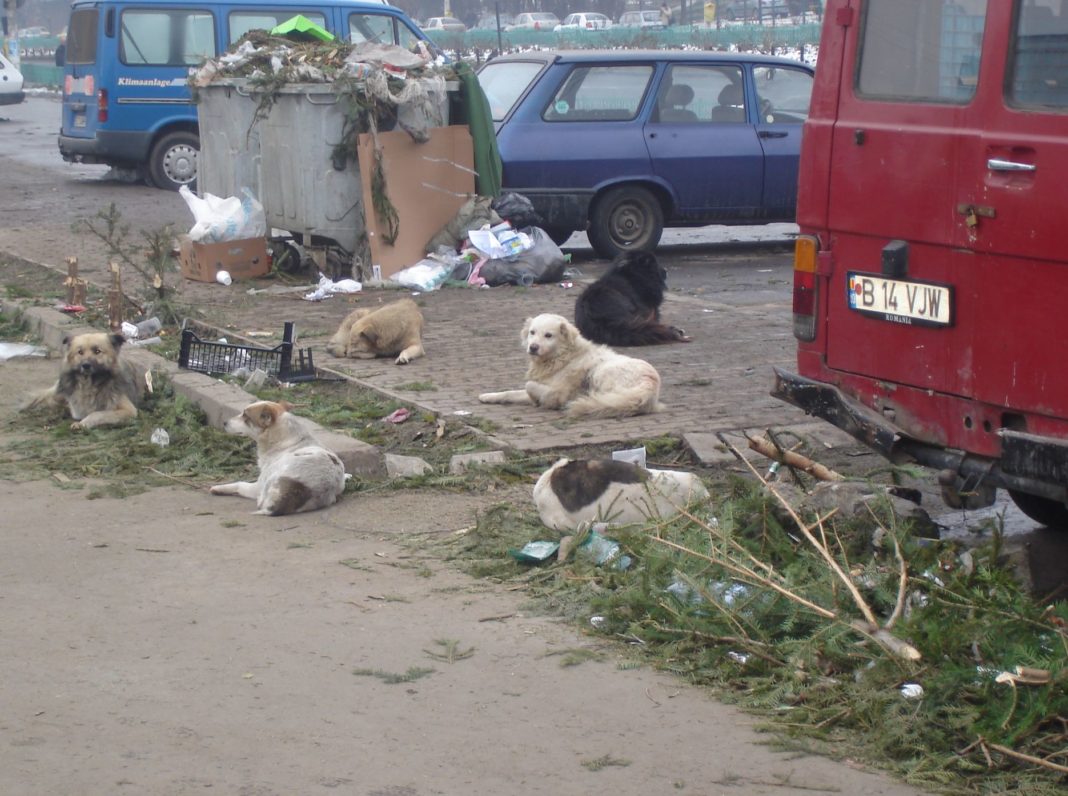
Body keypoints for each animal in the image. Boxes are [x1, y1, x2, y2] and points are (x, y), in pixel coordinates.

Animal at [206, 399, 343, 519]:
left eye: (245, 415)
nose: (224, 422)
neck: (284, 440)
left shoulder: (257, 486)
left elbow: (239, 484)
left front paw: (218, 488)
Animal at [480, 314, 662, 418]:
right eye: (532, 332)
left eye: (548, 335)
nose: (533, 347)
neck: (562, 357)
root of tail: (650, 385)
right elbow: (510, 393)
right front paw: (488, 396)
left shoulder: (556, 392)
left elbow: (529, 386)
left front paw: (541, 402)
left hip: (600, 373)